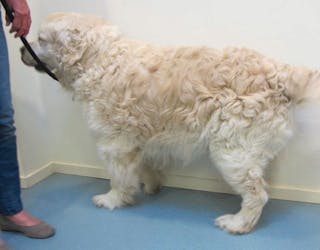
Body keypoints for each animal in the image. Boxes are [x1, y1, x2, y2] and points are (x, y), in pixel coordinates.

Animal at [21, 12, 318, 234]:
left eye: (41, 39)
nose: (22, 49)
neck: (99, 59)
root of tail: (280, 73)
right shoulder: (136, 138)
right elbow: (144, 165)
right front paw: (152, 185)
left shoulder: (114, 142)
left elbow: (119, 177)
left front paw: (113, 199)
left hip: (233, 152)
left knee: (258, 195)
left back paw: (238, 224)